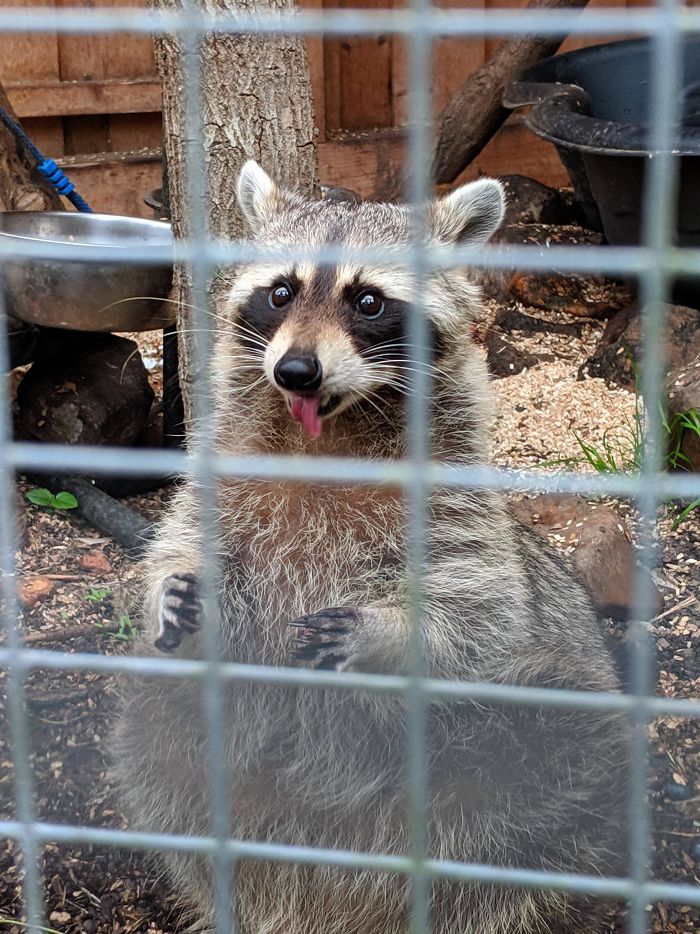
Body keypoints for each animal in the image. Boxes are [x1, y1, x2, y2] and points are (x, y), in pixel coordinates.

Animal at [112, 161, 628, 934]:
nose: (296, 371)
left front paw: (388, 633)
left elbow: (480, 614)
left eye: (368, 301)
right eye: (282, 292)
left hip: (536, 729)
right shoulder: (218, 481)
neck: (326, 435)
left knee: (545, 769)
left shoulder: (456, 509)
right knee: (163, 741)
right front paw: (173, 588)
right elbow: (182, 542)